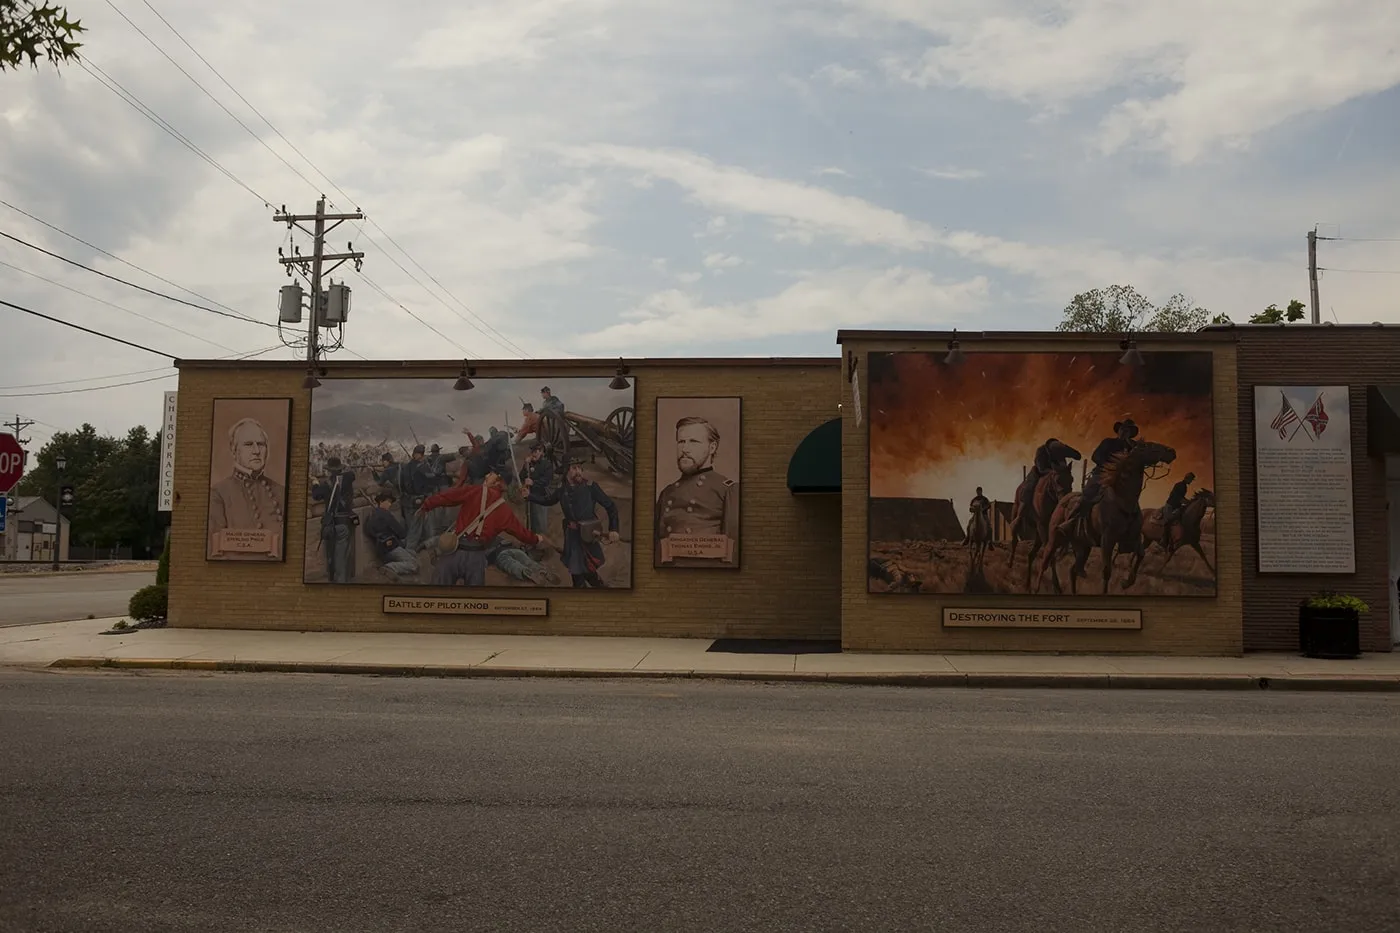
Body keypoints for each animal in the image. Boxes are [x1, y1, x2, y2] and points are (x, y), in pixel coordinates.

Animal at [1036, 437, 1176, 596]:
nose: (1171, 451)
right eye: (1147, 445)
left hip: (1083, 546)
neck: (1123, 501)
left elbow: (1141, 554)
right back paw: (1036, 588)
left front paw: (1126, 583)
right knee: (1045, 562)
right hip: (1054, 539)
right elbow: (1106, 571)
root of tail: (1063, 499)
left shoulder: (1133, 538)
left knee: (1073, 570)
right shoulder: (1107, 539)